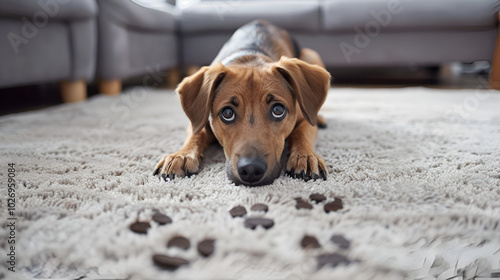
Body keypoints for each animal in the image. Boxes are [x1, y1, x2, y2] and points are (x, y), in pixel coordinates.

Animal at [152, 19, 332, 186]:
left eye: (278, 110)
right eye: (227, 113)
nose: (251, 170)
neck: (250, 57)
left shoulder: (304, 119)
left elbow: (301, 133)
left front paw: (305, 156)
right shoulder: (200, 120)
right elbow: (196, 134)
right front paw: (181, 155)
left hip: (311, 54)